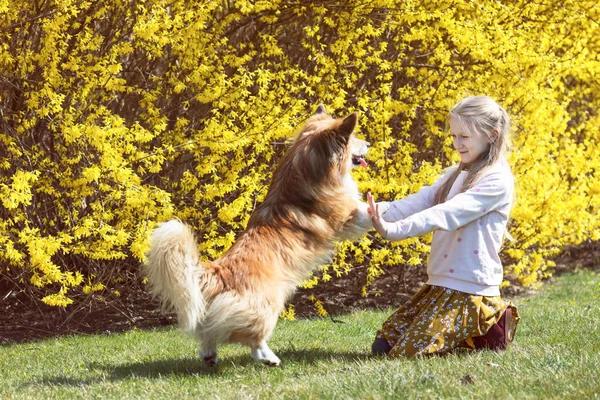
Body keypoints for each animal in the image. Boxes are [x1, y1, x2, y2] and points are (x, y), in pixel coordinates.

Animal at [144, 105, 372, 366]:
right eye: (353, 139)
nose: (369, 144)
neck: (306, 169)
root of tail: (217, 273)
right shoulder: (349, 217)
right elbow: (370, 210)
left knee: (208, 333)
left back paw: (210, 355)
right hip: (268, 305)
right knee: (254, 340)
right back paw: (269, 358)